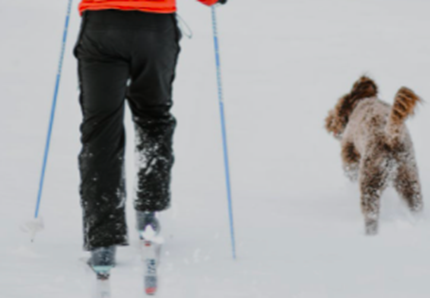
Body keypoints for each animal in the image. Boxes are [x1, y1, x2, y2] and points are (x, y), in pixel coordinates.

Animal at [326, 76, 424, 235]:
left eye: (337, 108)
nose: (328, 122)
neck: (361, 101)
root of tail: (390, 138)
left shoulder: (349, 150)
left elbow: (349, 168)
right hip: (408, 178)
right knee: (415, 205)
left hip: (370, 180)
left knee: (371, 213)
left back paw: (370, 233)